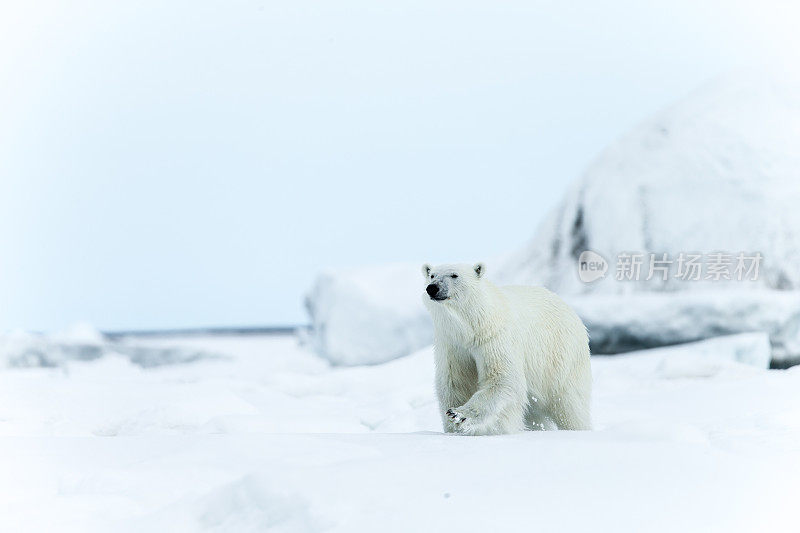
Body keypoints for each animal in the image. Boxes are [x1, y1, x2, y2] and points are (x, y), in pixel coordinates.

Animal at [422, 262, 592, 432]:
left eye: (454, 275)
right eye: (432, 275)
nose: (432, 288)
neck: (473, 326)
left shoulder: (495, 339)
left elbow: (502, 378)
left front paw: (459, 414)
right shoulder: (452, 345)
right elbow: (455, 383)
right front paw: (454, 425)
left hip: (561, 357)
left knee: (570, 405)